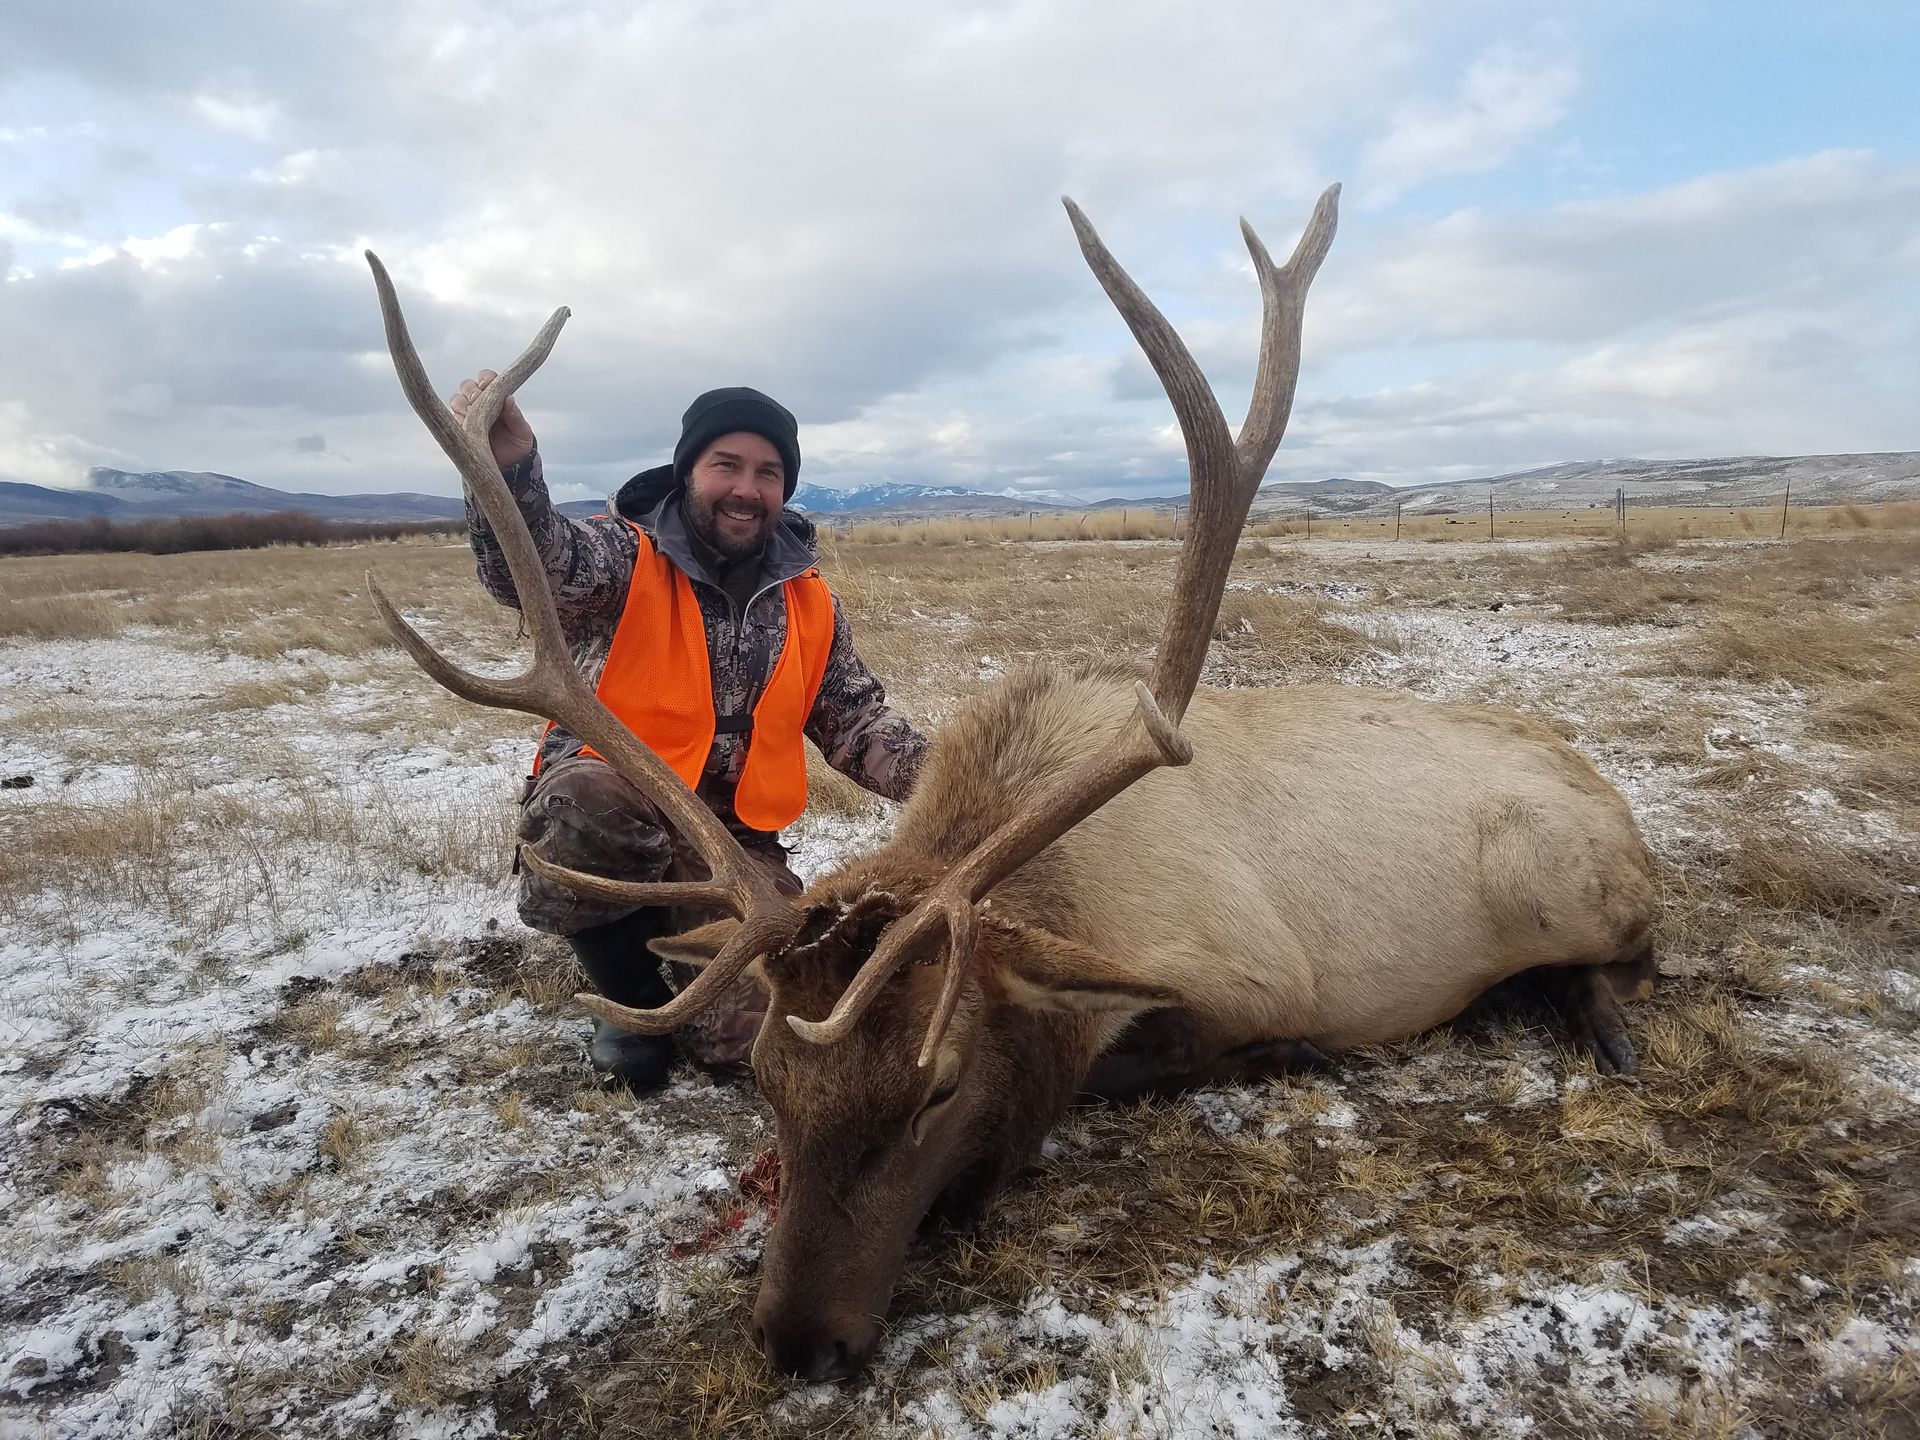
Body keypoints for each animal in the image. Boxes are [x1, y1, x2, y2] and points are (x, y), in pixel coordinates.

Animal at [362, 183, 1656, 1381]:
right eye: (770, 1081)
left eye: (936, 1089)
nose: (799, 1345)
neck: (1069, 891)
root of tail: (1603, 787)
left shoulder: (1251, 980)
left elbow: (1127, 1069)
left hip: (1563, 880)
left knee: (1627, 955)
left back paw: (1606, 1030)